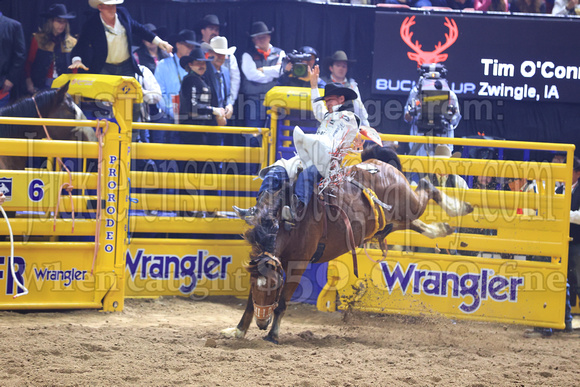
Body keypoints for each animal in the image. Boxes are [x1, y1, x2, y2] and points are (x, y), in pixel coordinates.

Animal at [224, 159, 474, 344]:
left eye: (274, 286)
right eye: (257, 285)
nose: (261, 323)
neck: (289, 223)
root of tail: (384, 165)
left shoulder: (298, 263)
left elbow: (284, 300)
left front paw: (273, 335)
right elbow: (250, 300)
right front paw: (239, 329)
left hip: (409, 205)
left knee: (425, 186)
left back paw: (460, 207)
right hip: (392, 220)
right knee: (416, 221)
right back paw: (442, 227)